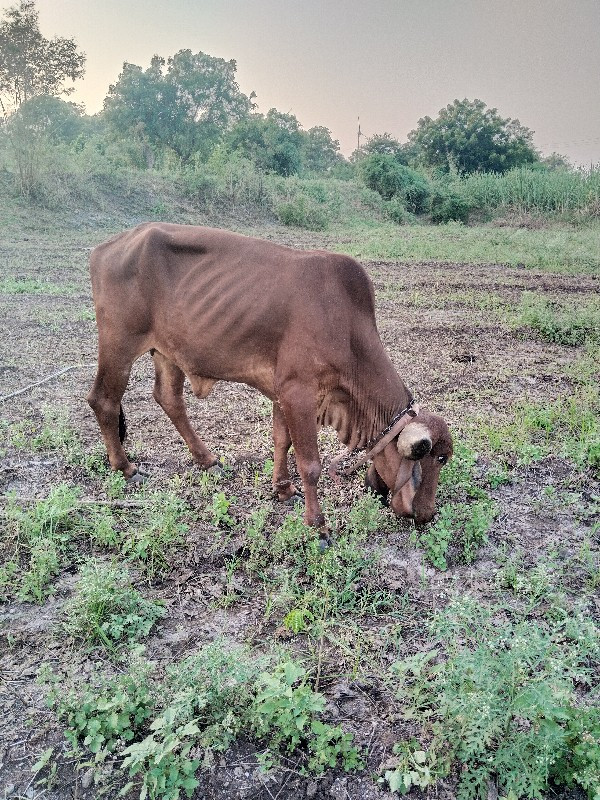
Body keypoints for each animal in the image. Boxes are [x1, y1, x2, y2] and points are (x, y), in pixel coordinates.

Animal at [88, 222, 454, 528]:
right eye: (435, 458)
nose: (427, 514)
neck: (348, 327)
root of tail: (106, 247)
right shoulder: (297, 391)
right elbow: (310, 464)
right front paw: (317, 524)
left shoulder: (286, 392)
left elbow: (282, 441)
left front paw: (283, 490)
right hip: (118, 344)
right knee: (103, 401)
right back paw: (126, 468)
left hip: (167, 352)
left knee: (169, 399)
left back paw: (207, 459)